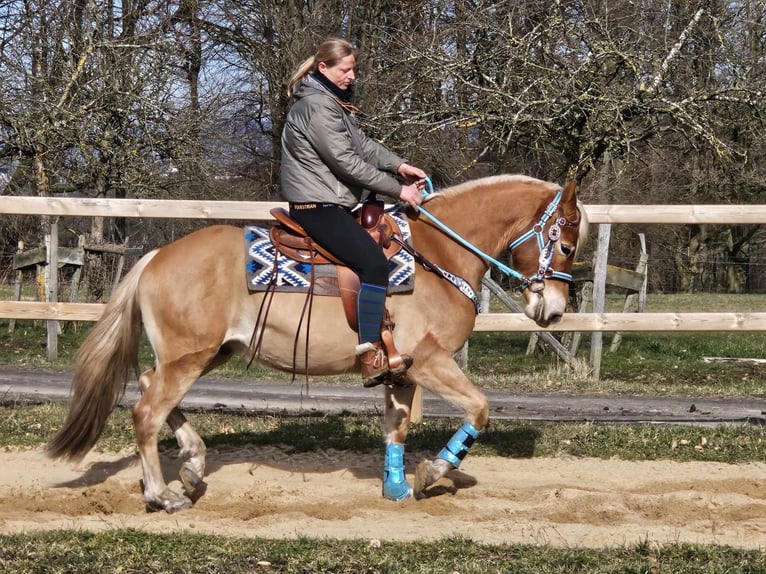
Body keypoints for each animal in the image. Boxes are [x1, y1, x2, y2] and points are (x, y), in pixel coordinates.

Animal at [48, 174, 588, 512]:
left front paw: (395, 486)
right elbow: (479, 408)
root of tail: (156, 256)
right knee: (147, 411)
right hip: (189, 357)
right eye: (565, 244)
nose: (554, 310)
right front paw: (435, 471)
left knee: (147, 387)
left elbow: (396, 429)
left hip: (204, 354)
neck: (437, 257)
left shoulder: (400, 371)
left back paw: (195, 465)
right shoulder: (429, 362)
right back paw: (163, 495)